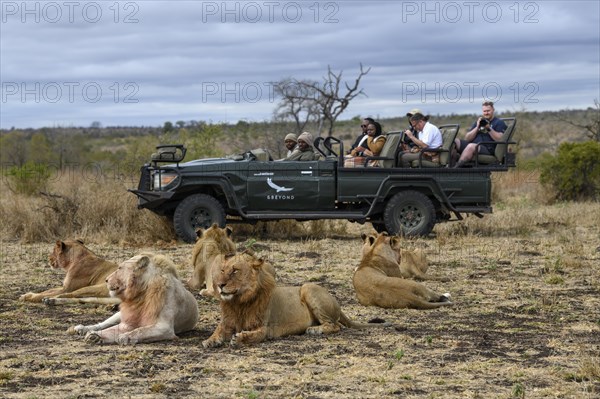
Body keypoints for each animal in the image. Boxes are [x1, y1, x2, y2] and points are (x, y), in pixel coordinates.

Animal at [69, 255, 198, 346]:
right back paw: (83, 328)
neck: (141, 293)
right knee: (103, 324)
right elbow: (111, 329)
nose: (106, 280)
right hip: (119, 314)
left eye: (120, 268)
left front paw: (124, 337)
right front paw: (94, 336)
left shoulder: (164, 327)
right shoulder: (127, 322)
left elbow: (139, 331)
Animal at [203, 252, 390, 348]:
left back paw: (315, 330)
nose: (219, 285)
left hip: (308, 288)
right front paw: (210, 341)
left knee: (335, 325)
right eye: (222, 270)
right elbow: (218, 331)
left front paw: (239, 339)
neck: (239, 302)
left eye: (235, 270)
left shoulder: (264, 328)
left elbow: (254, 336)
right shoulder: (227, 321)